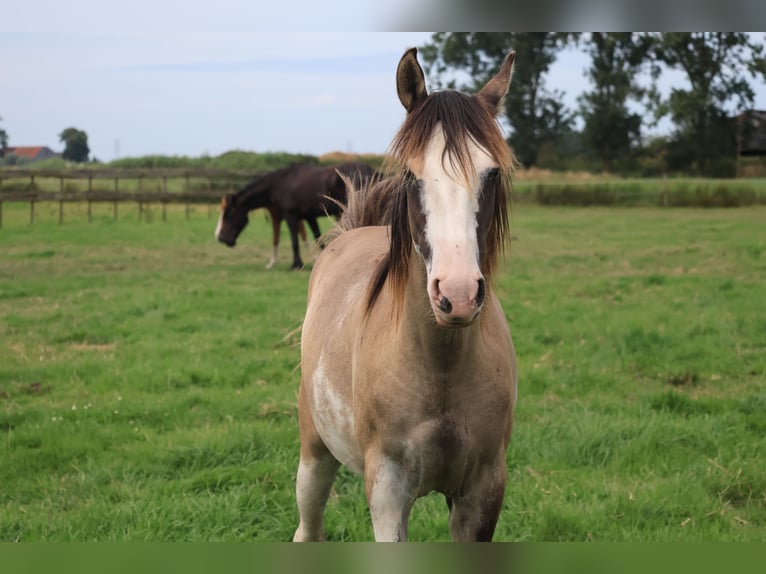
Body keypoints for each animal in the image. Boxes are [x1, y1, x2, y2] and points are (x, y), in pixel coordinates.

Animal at [213, 162, 380, 270]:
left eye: (228, 215)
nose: (221, 238)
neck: (281, 183)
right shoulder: (309, 217)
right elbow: (318, 238)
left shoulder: (290, 216)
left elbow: (295, 241)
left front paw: (296, 264)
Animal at [296, 46, 520, 544]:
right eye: (411, 173)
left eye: (491, 173)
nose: (457, 293)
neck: (440, 369)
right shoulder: (388, 490)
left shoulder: (484, 491)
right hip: (314, 452)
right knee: (309, 526)